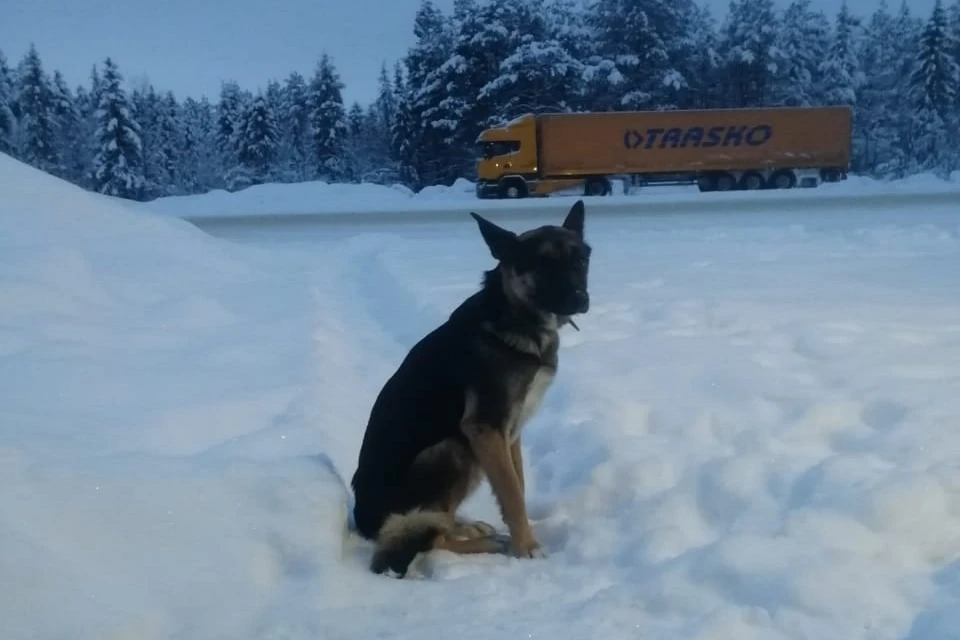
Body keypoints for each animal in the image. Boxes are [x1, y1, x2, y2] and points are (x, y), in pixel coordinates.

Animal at [350, 199, 592, 576]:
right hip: (453, 449)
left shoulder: (511, 431)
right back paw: (484, 543)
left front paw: (524, 535)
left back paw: (465, 525)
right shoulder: (485, 428)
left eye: (580, 260)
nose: (581, 299)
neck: (514, 316)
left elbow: (518, 486)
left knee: (433, 522)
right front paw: (528, 548)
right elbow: (511, 492)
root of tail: (363, 520)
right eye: (543, 264)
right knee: (429, 537)